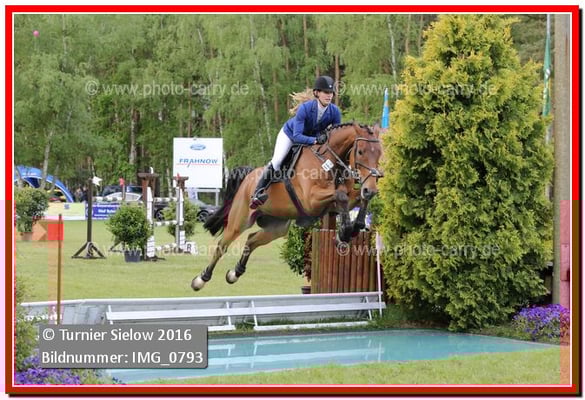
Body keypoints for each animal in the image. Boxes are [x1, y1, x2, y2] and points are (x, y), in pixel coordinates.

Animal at [191, 122, 384, 291]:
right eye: (360, 151)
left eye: (379, 153)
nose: (372, 188)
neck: (329, 161)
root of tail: (248, 177)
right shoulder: (311, 201)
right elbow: (341, 196)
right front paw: (344, 233)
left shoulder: (342, 200)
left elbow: (358, 198)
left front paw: (355, 227)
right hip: (240, 220)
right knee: (222, 245)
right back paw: (200, 279)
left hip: (277, 226)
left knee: (252, 240)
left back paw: (234, 273)